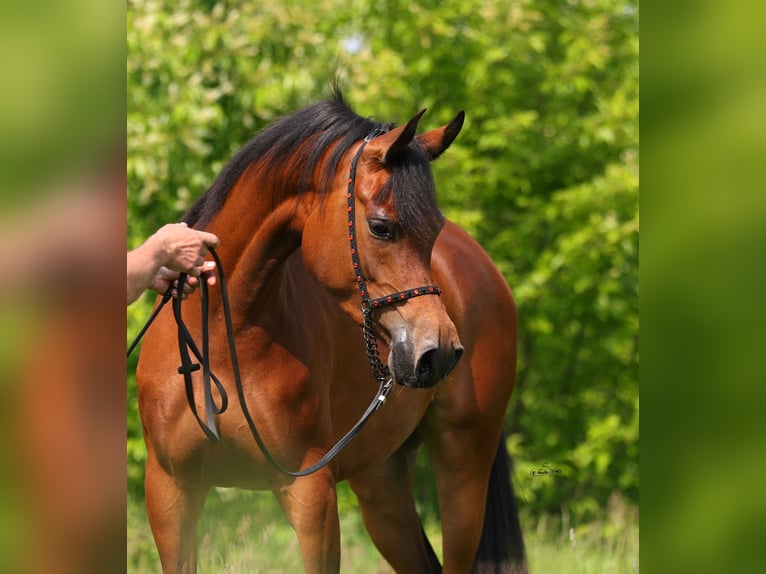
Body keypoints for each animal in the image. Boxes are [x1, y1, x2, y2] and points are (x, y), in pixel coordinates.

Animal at [136, 88, 527, 573]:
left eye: (434, 229)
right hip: (382, 482)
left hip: (464, 468)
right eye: (381, 227)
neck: (224, 338)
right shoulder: (171, 491)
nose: (438, 352)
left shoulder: (311, 493)